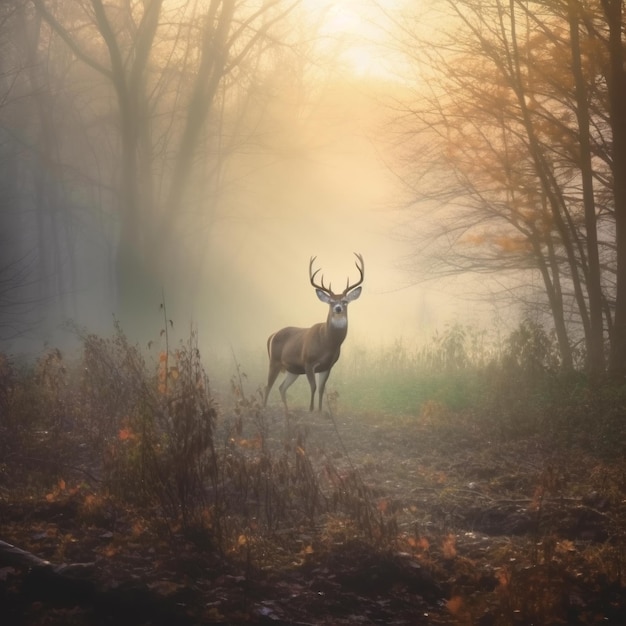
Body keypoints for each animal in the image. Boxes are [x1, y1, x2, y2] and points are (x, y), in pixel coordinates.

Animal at [262, 251, 360, 412]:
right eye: (331, 302)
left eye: (345, 301)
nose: (338, 308)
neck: (328, 344)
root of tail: (272, 335)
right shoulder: (308, 362)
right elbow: (313, 387)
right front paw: (311, 409)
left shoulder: (328, 366)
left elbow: (321, 389)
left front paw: (320, 410)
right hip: (274, 361)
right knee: (267, 386)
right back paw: (263, 408)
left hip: (293, 369)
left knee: (281, 387)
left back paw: (287, 411)